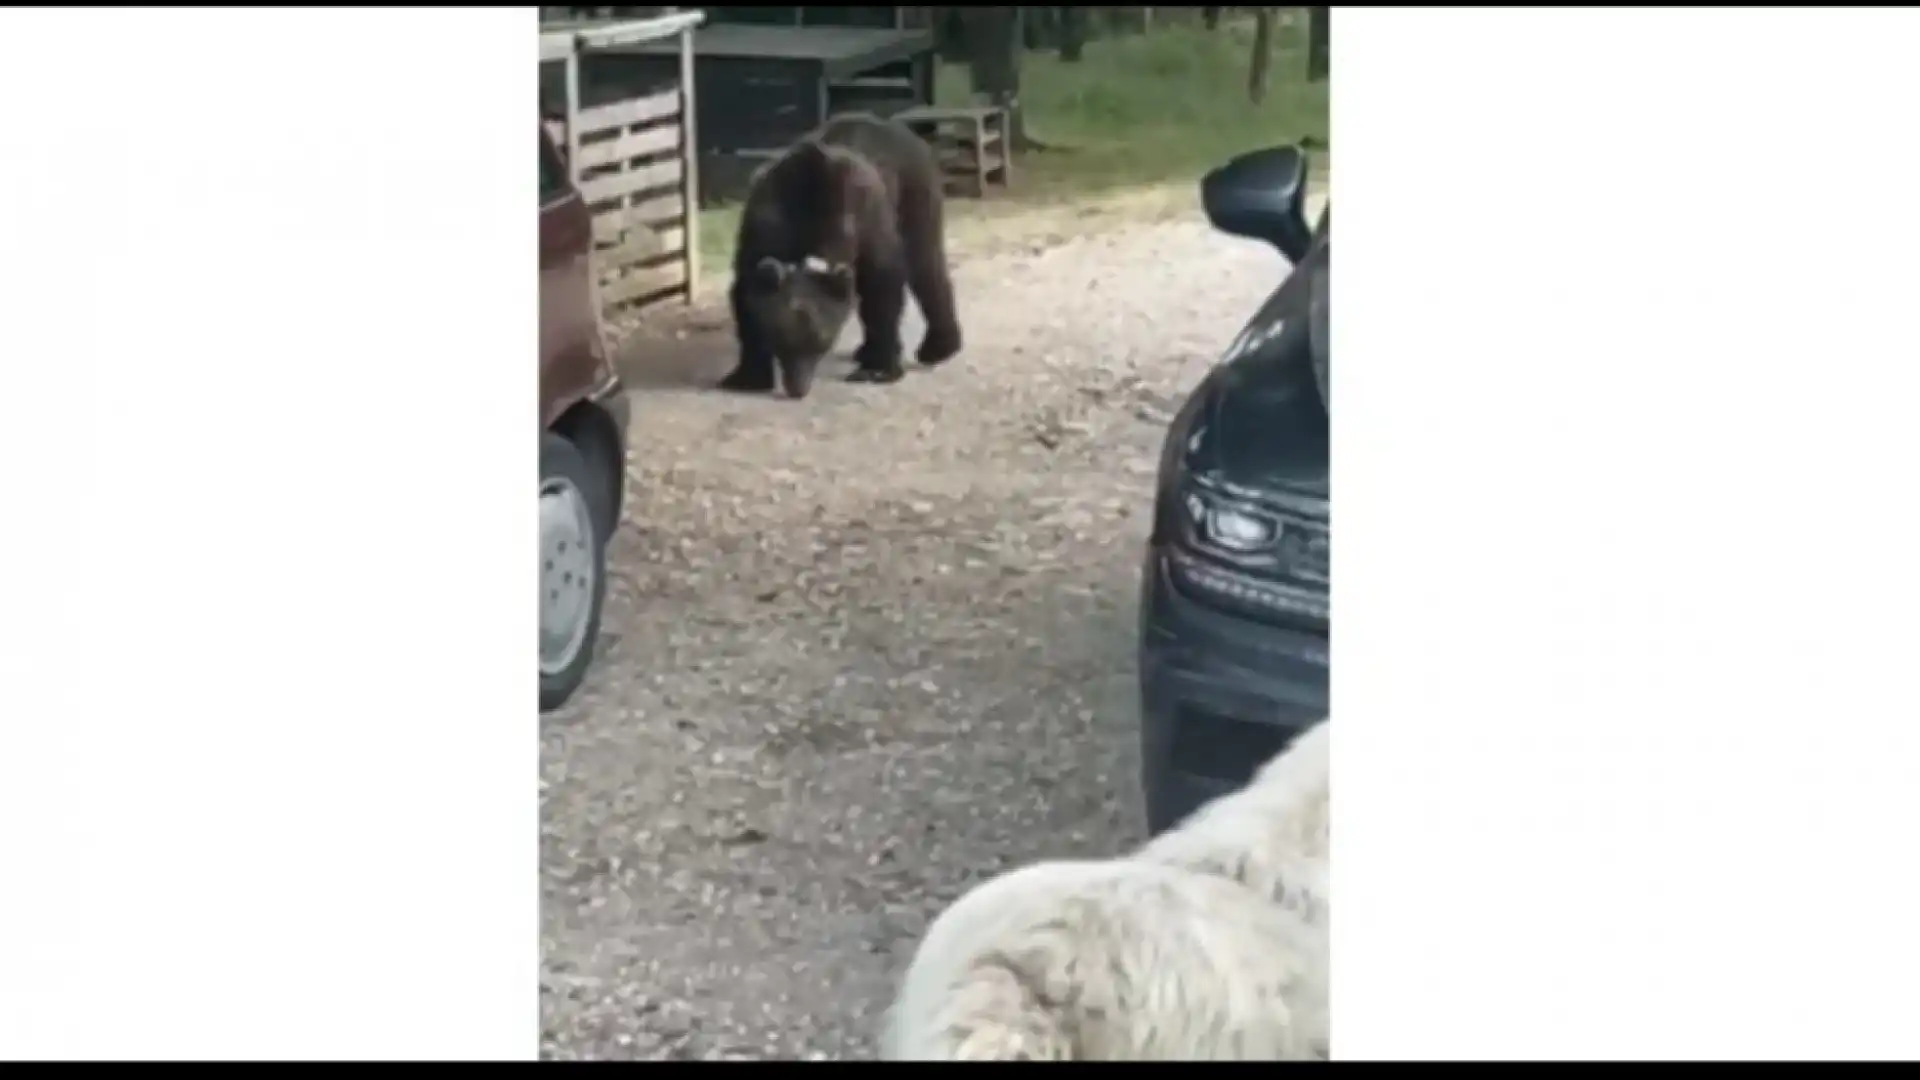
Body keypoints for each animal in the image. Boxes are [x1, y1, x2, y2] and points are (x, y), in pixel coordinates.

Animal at [718, 111, 967, 397]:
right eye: (780, 338)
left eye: (822, 340)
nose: (798, 388)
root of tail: (895, 127)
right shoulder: (761, 226)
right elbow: (746, 297)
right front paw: (746, 376)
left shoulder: (867, 217)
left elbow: (882, 286)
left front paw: (878, 369)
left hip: (915, 192)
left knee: (925, 263)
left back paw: (938, 347)